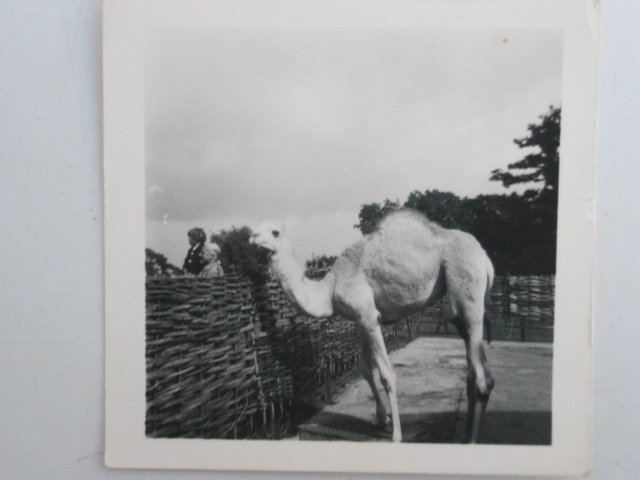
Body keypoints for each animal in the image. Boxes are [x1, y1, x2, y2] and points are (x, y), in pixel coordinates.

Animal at [251, 209, 494, 443]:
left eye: (275, 232)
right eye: (255, 229)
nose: (252, 238)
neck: (330, 288)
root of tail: (485, 259)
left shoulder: (368, 315)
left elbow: (386, 375)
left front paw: (396, 434)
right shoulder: (361, 319)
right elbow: (365, 368)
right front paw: (380, 418)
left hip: (467, 290)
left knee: (482, 378)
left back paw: (471, 439)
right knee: (476, 374)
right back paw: (466, 434)